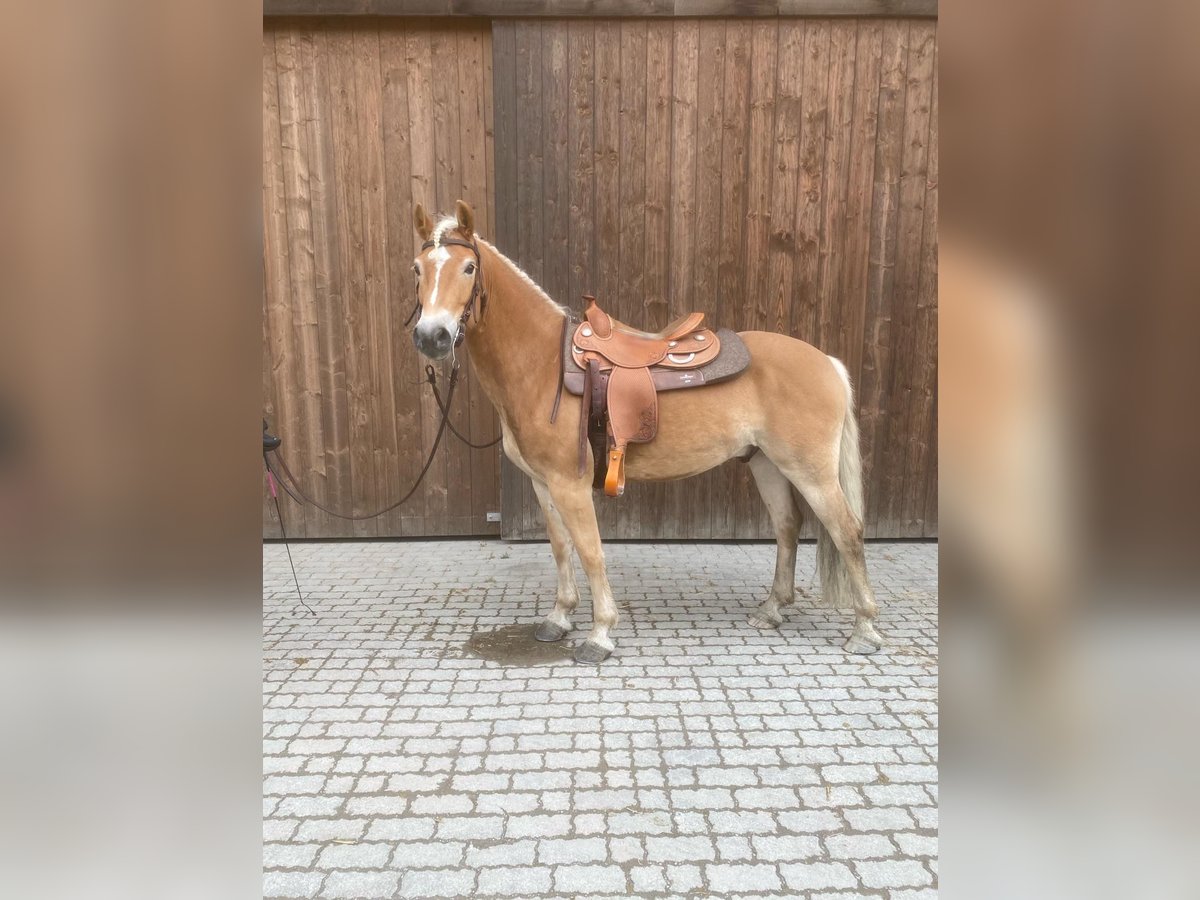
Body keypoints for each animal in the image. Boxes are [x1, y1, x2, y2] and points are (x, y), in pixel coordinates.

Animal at [410, 200, 883, 667]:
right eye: (418, 268)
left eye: (469, 267)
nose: (432, 337)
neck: (543, 365)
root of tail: (827, 362)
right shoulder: (542, 483)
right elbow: (561, 547)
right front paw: (559, 618)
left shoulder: (570, 484)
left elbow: (590, 551)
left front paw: (600, 634)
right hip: (767, 463)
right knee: (787, 526)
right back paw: (771, 610)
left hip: (811, 471)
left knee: (847, 531)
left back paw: (864, 629)